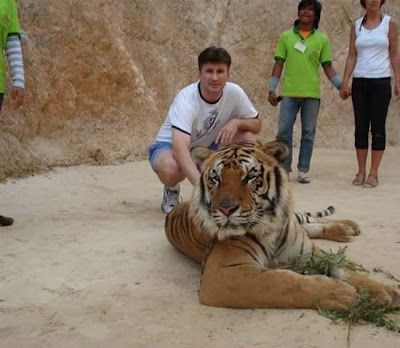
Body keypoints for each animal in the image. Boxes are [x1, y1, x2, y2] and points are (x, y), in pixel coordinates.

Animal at [164, 141, 398, 310]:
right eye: (216, 178)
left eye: (250, 176)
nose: (226, 209)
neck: (272, 228)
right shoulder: (221, 273)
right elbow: (281, 282)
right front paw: (341, 293)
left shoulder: (307, 250)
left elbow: (344, 268)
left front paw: (383, 291)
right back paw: (347, 230)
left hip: (296, 220)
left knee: (310, 220)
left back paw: (349, 226)